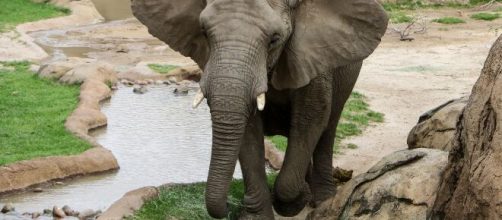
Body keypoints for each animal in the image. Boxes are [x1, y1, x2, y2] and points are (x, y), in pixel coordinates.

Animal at [130, 0, 388, 218]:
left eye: (274, 39)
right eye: (203, 32)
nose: (229, 206)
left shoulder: (312, 56)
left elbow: (311, 118)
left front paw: (294, 202)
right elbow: (248, 131)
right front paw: (257, 215)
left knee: (328, 128)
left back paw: (323, 200)